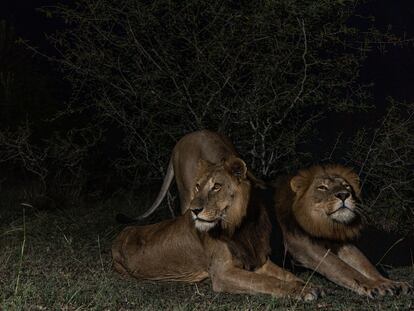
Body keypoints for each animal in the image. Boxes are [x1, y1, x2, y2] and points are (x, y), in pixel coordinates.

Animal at [274, 165, 412, 298]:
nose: (343, 195)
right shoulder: (303, 245)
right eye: (322, 187)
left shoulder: (339, 243)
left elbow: (365, 265)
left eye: (346, 186)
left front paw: (391, 283)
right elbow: (342, 267)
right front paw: (375, 286)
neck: (324, 224)